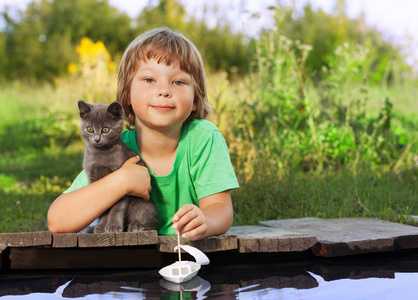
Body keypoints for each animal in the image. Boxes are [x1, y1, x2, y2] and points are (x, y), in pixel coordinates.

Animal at [77, 99, 159, 233]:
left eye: (105, 130)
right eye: (90, 129)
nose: (97, 139)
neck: (102, 153)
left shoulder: (121, 181)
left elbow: (117, 206)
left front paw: (113, 225)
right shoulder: (94, 179)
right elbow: (103, 207)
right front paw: (102, 226)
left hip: (142, 202)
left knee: (149, 218)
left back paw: (137, 225)